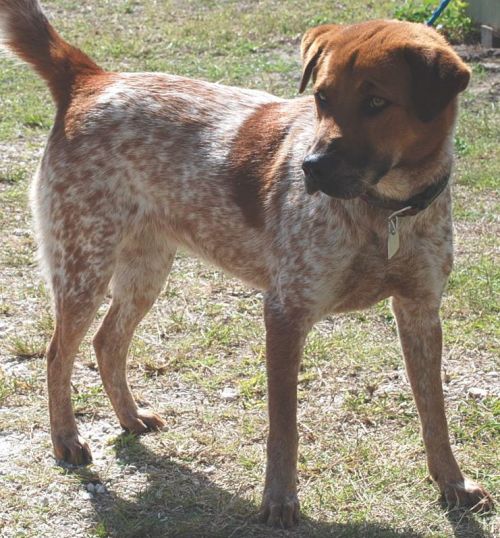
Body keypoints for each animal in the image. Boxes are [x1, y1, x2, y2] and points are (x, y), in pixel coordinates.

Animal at [0, 0, 492, 524]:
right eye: (321, 98)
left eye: (377, 102)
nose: (310, 168)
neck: (387, 211)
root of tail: (89, 78)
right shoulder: (286, 312)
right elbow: (284, 425)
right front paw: (279, 500)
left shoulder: (421, 311)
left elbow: (434, 412)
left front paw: (453, 483)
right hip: (84, 266)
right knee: (58, 353)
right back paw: (66, 438)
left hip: (145, 271)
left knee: (107, 341)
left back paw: (130, 417)